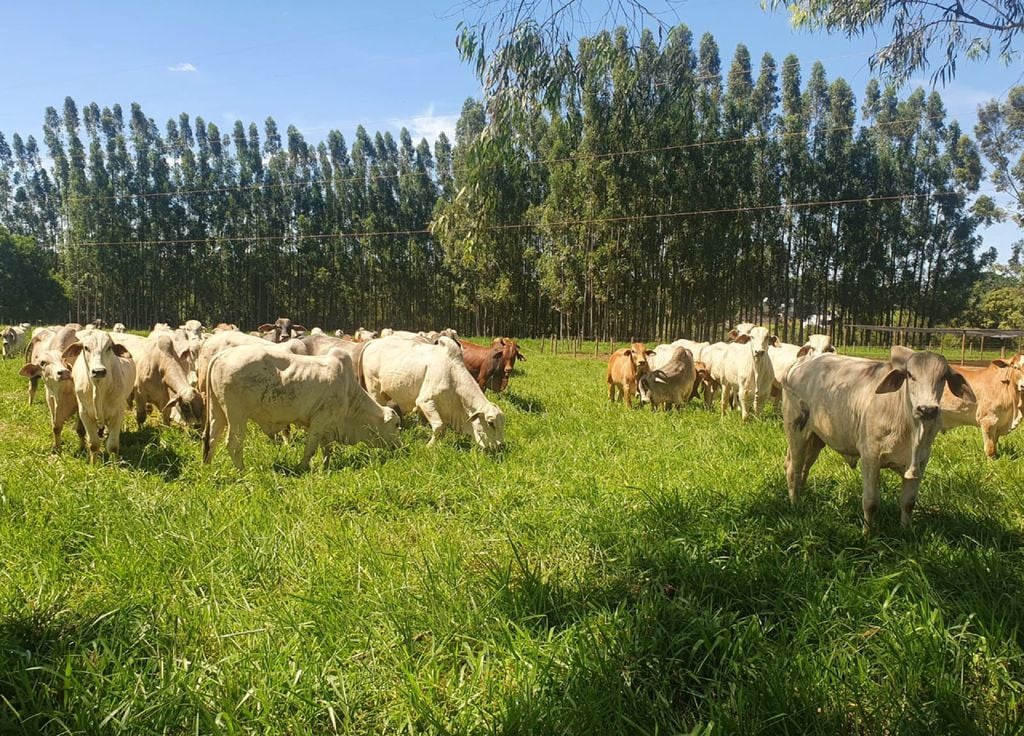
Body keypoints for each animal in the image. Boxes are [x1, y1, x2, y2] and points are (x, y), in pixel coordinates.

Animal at [62, 329, 136, 460]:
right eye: (86, 348)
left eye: (109, 347)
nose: (99, 371)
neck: (98, 388)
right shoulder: (85, 413)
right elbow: (93, 444)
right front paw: (93, 463)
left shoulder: (118, 413)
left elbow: (113, 445)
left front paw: (114, 464)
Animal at [202, 345, 399, 472]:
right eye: (397, 425)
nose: (400, 447)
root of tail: (222, 354)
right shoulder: (319, 421)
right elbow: (311, 448)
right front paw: (303, 467)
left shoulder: (327, 426)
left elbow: (327, 449)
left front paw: (326, 468)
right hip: (237, 415)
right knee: (233, 443)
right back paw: (243, 471)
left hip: (218, 412)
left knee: (211, 439)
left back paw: (207, 468)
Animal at [362, 333, 505, 448]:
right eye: (490, 423)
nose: (499, 446)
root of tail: (372, 343)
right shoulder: (425, 401)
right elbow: (439, 426)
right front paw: (429, 446)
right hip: (374, 389)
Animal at [782, 345, 974, 528]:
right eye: (910, 375)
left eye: (943, 377)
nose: (927, 409)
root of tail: (802, 361)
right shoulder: (870, 457)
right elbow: (871, 502)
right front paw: (867, 533)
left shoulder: (921, 460)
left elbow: (908, 503)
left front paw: (905, 530)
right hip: (796, 430)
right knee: (794, 468)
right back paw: (795, 504)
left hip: (816, 438)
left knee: (804, 469)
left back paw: (802, 498)